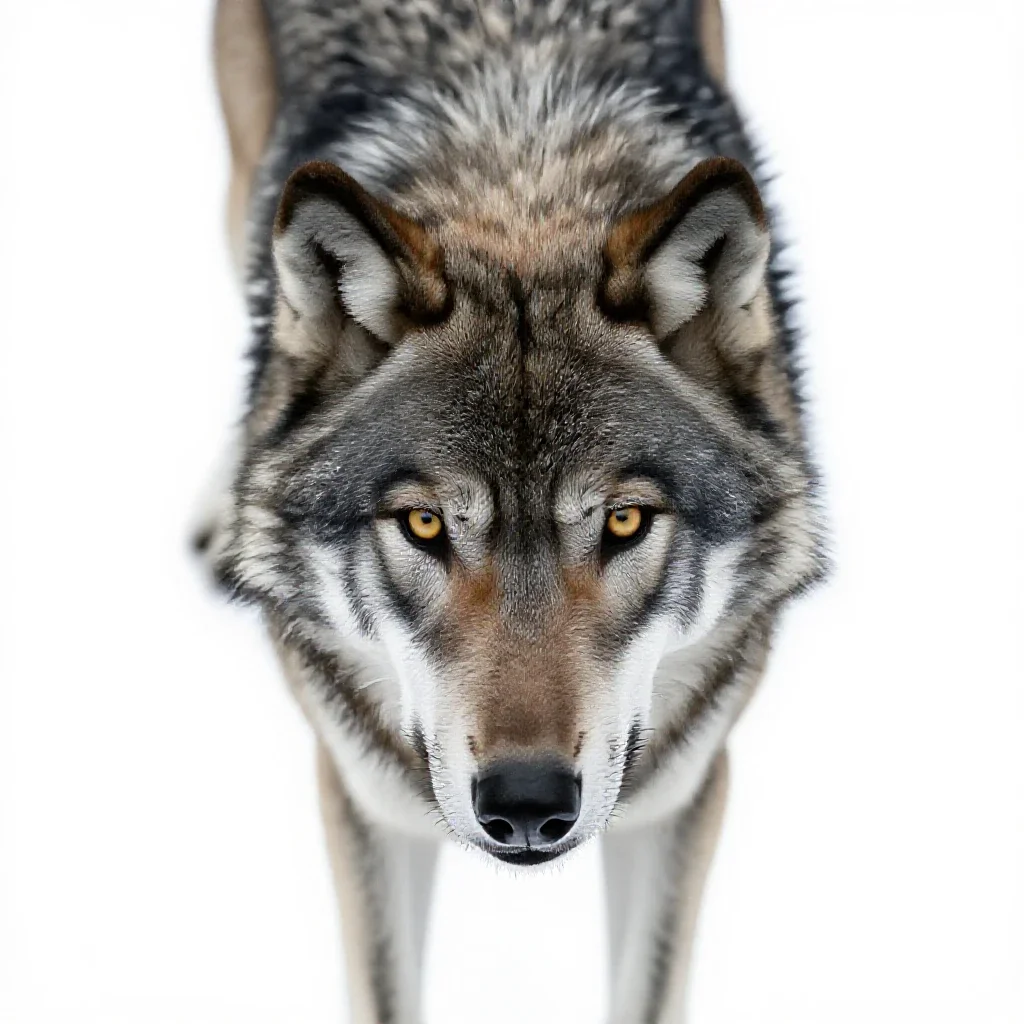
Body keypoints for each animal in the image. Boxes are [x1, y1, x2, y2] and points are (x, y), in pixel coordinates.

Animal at [201, 0, 826, 1020]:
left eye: (623, 522)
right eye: (424, 525)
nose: (528, 804)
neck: (519, 171)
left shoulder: (682, 794)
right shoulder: (365, 798)